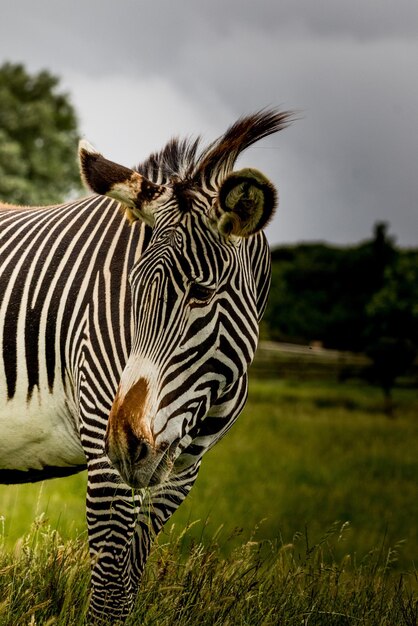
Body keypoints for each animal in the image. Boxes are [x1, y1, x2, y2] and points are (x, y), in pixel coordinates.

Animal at [0, 108, 292, 620]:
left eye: (202, 293)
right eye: (131, 286)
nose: (127, 443)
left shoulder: (184, 470)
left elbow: (127, 586)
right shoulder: (105, 457)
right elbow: (108, 595)